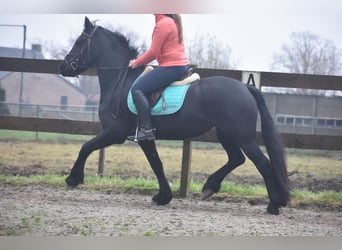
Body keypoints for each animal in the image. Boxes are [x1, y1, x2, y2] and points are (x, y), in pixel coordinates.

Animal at [58, 16, 288, 214]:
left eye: (80, 42)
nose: (63, 67)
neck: (121, 80)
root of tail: (245, 87)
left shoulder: (116, 132)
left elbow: (86, 147)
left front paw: (73, 179)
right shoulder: (143, 138)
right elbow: (156, 163)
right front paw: (163, 197)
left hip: (242, 136)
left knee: (263, 164)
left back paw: (273, 205)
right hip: (226, 133)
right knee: (236, 158)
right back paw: (210, 187)